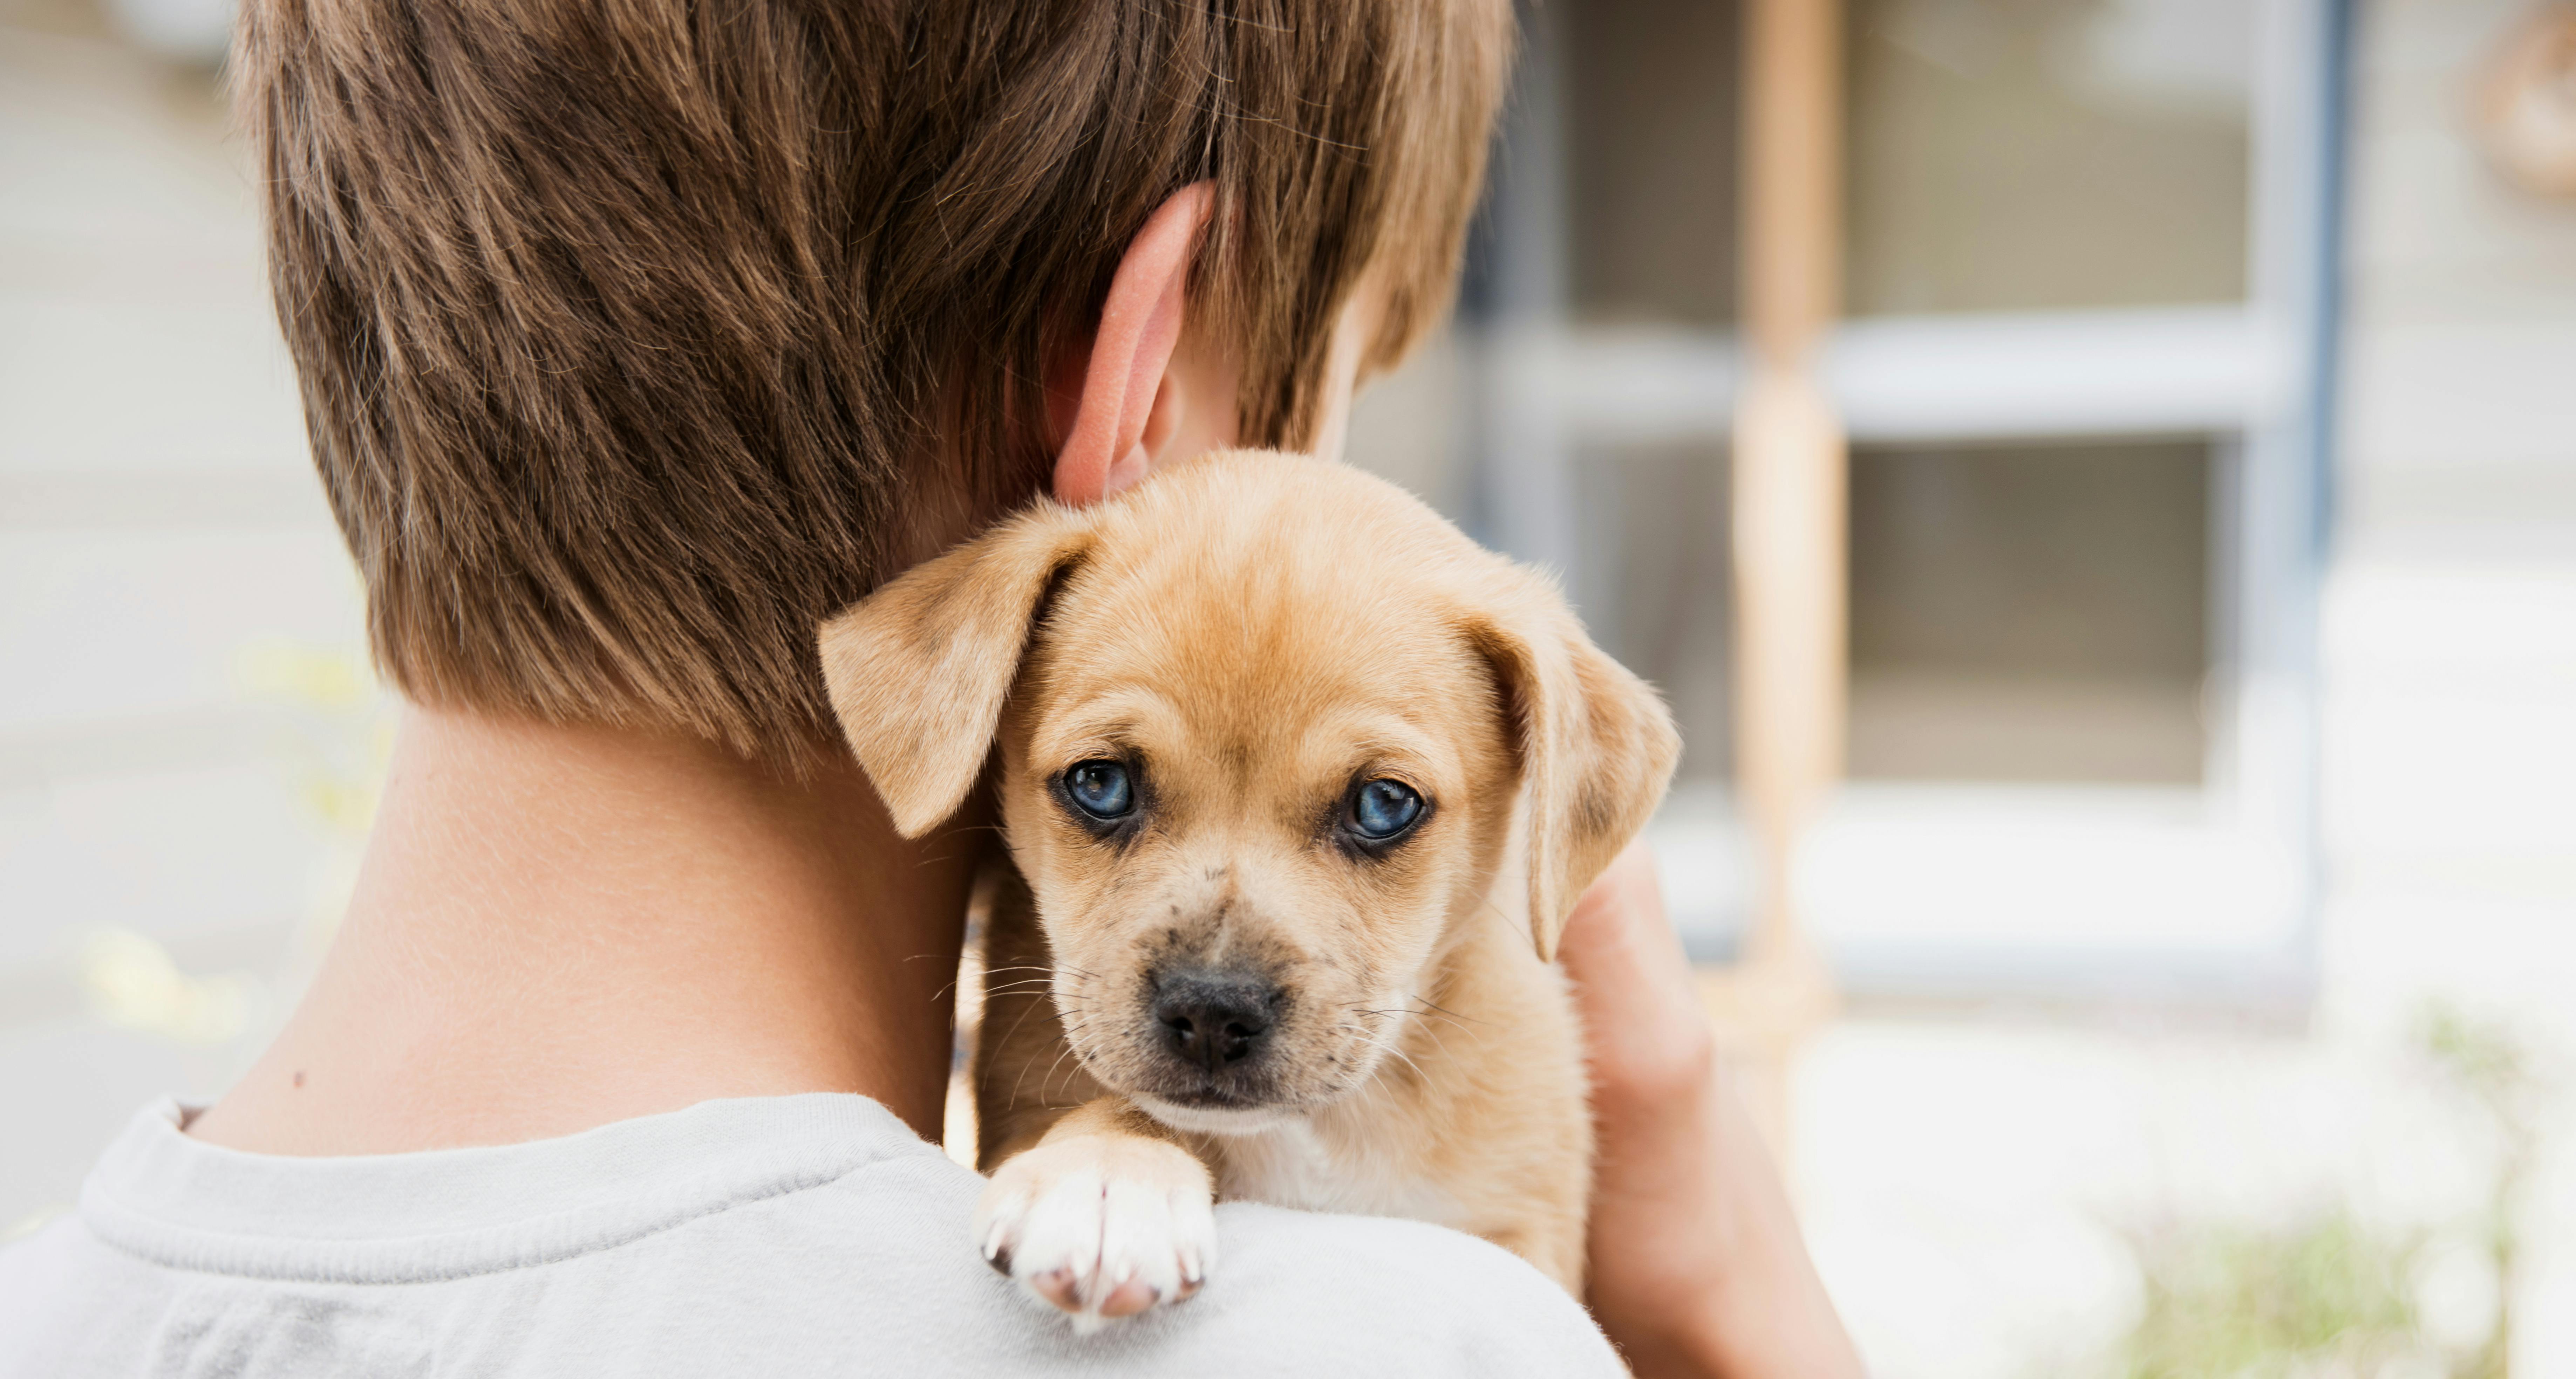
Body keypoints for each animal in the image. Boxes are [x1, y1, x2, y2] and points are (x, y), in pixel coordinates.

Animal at [814, 450, 1679, 1327]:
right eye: (1100, 784)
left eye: (1384, 804)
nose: (1211, 1013)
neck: (1316, 1136)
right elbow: (1120, 1106)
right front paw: (1106, 1177)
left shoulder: (1528, 1236)